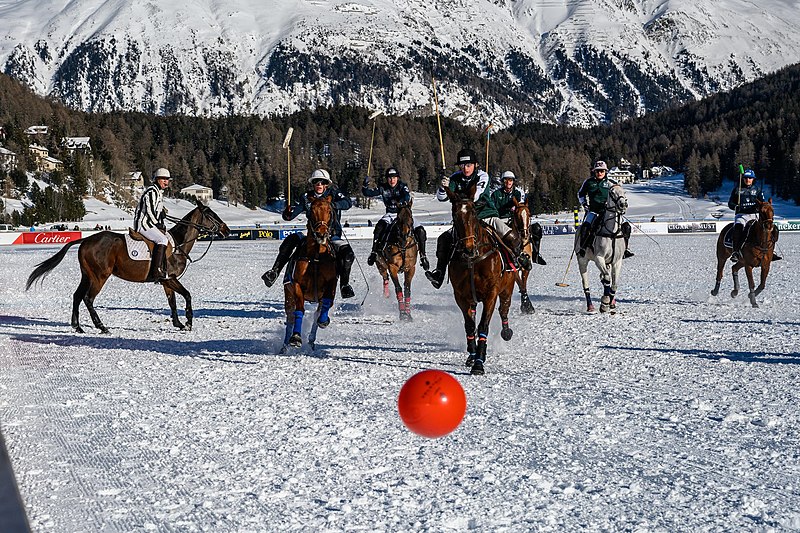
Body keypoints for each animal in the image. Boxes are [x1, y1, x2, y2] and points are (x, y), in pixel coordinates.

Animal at [25, 204, 230, 332]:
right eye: (211, 215)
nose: (226, 230)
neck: (178, 244)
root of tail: (86, 240)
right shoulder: (170, 279)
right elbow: (187, 295)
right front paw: (188, 322)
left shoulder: (166, 280)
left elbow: (172, 301)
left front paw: (178, 323)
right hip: (100, 276)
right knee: (88, 298)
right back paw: (101, 326)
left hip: (87, 275)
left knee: (77, 296)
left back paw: (78, 327)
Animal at [282, 193, 338, 352]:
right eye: (311, 211)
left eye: (330, 211)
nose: (321, 235)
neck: (316, 257)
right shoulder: (296, 285)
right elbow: (299, 310)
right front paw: (295, 338)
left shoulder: (332, 282)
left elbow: (326, 304)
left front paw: (323, 321)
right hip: (288, 295)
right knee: (290, 317)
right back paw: (285, 345)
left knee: (316, 313)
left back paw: (312, 340)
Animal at [446, 185, 516, 376]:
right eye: (455, 215)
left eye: (473, 213)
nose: (468, 249)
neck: (473, 260)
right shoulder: (461, 296)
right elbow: (470, 326)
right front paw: (472, 355)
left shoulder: (491, 293)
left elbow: (484, 325)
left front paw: (479, 363)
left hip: (507, 288)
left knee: (504, 310)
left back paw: (506, 332)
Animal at [576, 182, 632, 312]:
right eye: (611, 192)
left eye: (624, 191)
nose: (623, 205)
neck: (612, 232)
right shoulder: (599, 258)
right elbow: (607, 278)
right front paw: (604, 302)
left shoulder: (617, 261)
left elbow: (614, 284)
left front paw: (611, 302)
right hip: (582, 261)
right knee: (586, 284)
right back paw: (590, 306)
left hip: (607, 263)